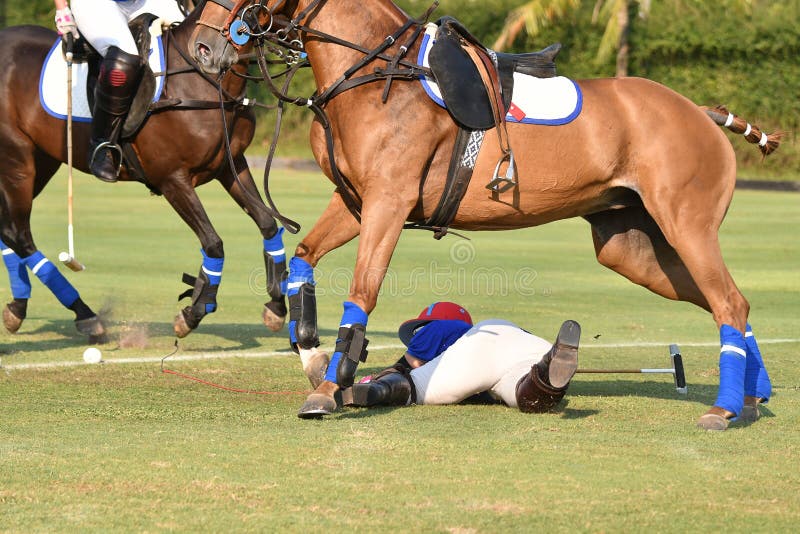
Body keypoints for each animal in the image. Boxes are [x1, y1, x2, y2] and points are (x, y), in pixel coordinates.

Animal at [0, 7, 293, 348]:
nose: (209, 53)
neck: (203, 80)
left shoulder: (231, 164)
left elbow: (267, 223)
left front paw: (276, 306)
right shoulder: (172, 179)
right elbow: (213, 243)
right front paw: (192, 313)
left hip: (41, 160)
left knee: (8, 229)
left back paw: (18, 308)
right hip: (17, 159)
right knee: (18, 233)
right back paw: (85, 315)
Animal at [194, 0, 781, 430]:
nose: (203, 46)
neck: (376, 75)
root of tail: (700, 111)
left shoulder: (389, 201)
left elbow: (361, 293)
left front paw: (328, 386)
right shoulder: (357, 204)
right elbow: (303, 258)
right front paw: (313, 357)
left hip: (686, 225)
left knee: (729, 300)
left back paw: (725, 408)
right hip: (630, 247)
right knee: (726, 302)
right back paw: (755, 396)